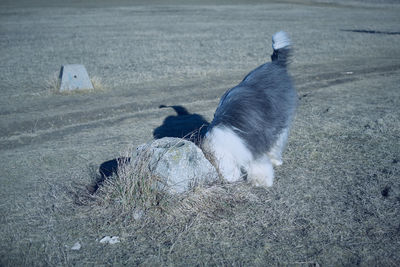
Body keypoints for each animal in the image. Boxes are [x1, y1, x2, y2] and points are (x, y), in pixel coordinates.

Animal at [203, 31, 296, 188]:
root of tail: (275, 65)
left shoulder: (253, 143)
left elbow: (258, 163)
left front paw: (261, 180)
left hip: (281, 118)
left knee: (278, 140)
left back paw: (276, 160)